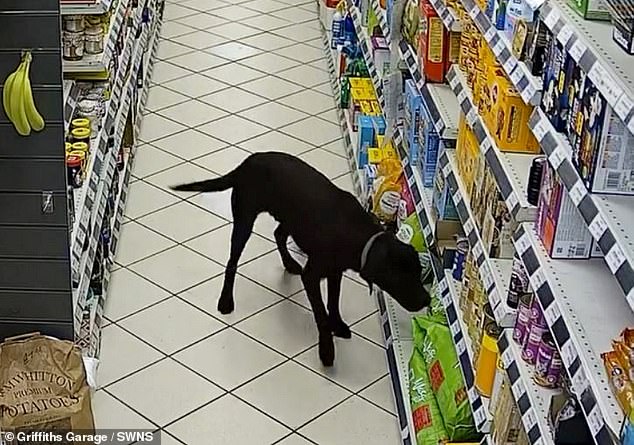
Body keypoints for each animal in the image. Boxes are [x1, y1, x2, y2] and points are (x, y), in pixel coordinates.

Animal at [172, 151, 430, 366]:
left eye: (418, 272)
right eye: (400, 278)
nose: (427, 300)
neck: (357, 234)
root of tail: (247, 162)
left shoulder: (335, 271)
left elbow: (333, 302)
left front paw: (338, 324)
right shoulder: (312, 275)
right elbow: (321, 314)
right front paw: (326, 350)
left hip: (291, 218)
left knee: (278, 234)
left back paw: (289, 263)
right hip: (245, 219)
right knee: (232, 262)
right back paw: (226, 300)